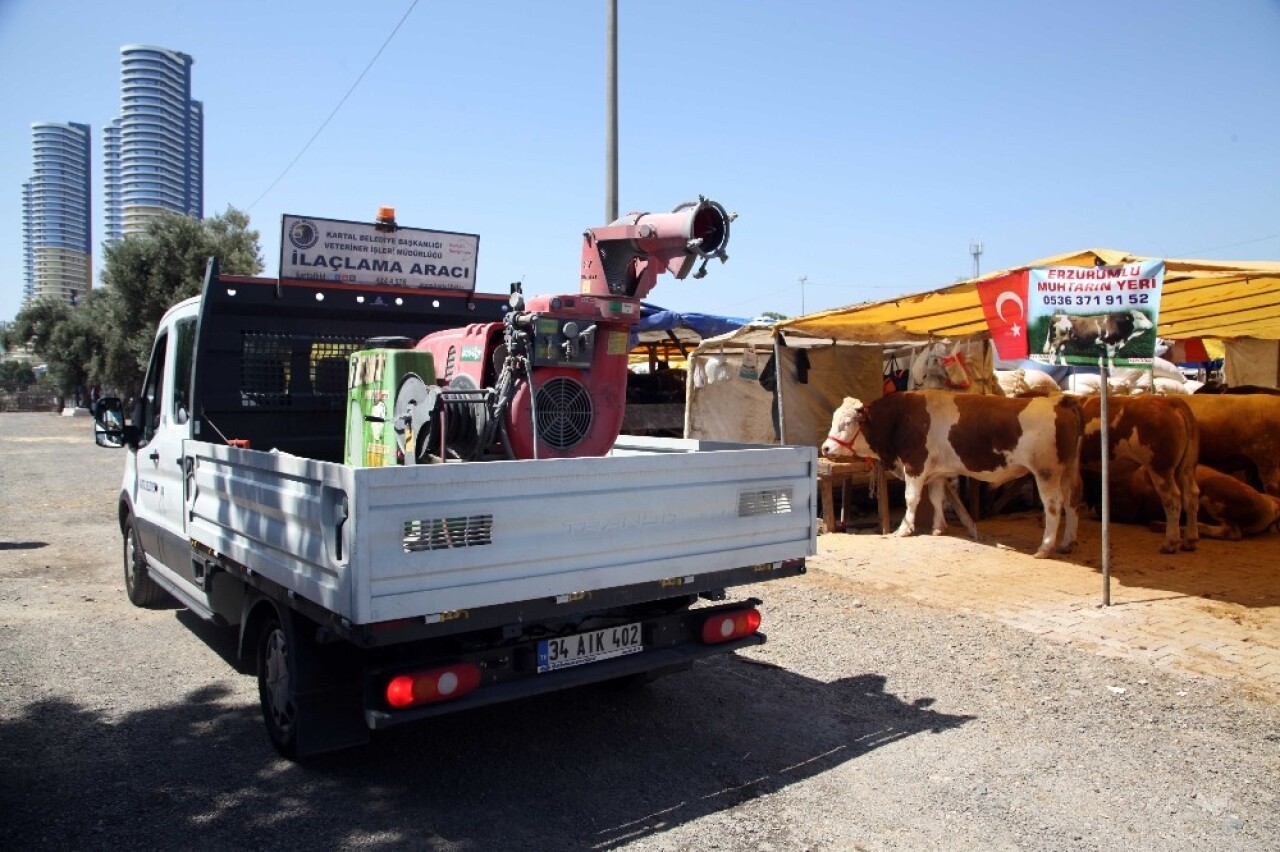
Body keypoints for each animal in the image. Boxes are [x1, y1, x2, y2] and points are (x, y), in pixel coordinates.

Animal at [819, 388, 1080, 557]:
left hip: (1046, 472)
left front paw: (904, 529)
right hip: (1069, 469)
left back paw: (1045, 547)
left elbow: (911, 498)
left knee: (1054, 506)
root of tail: (1059, 402)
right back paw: (1067, 542)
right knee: (1071, 502)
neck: (900, 418)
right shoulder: (937, 472)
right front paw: (938, 527)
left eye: (847, 423)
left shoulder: (915, 465)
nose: (826, 448)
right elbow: (936, 497)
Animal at [1080, 394, 1198, 555]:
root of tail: (1170, 401)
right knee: (1191, 496)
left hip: (1160, 467)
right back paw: (1190, 540)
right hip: (1187, 467)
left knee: (1172, 499)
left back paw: (1170, 543)